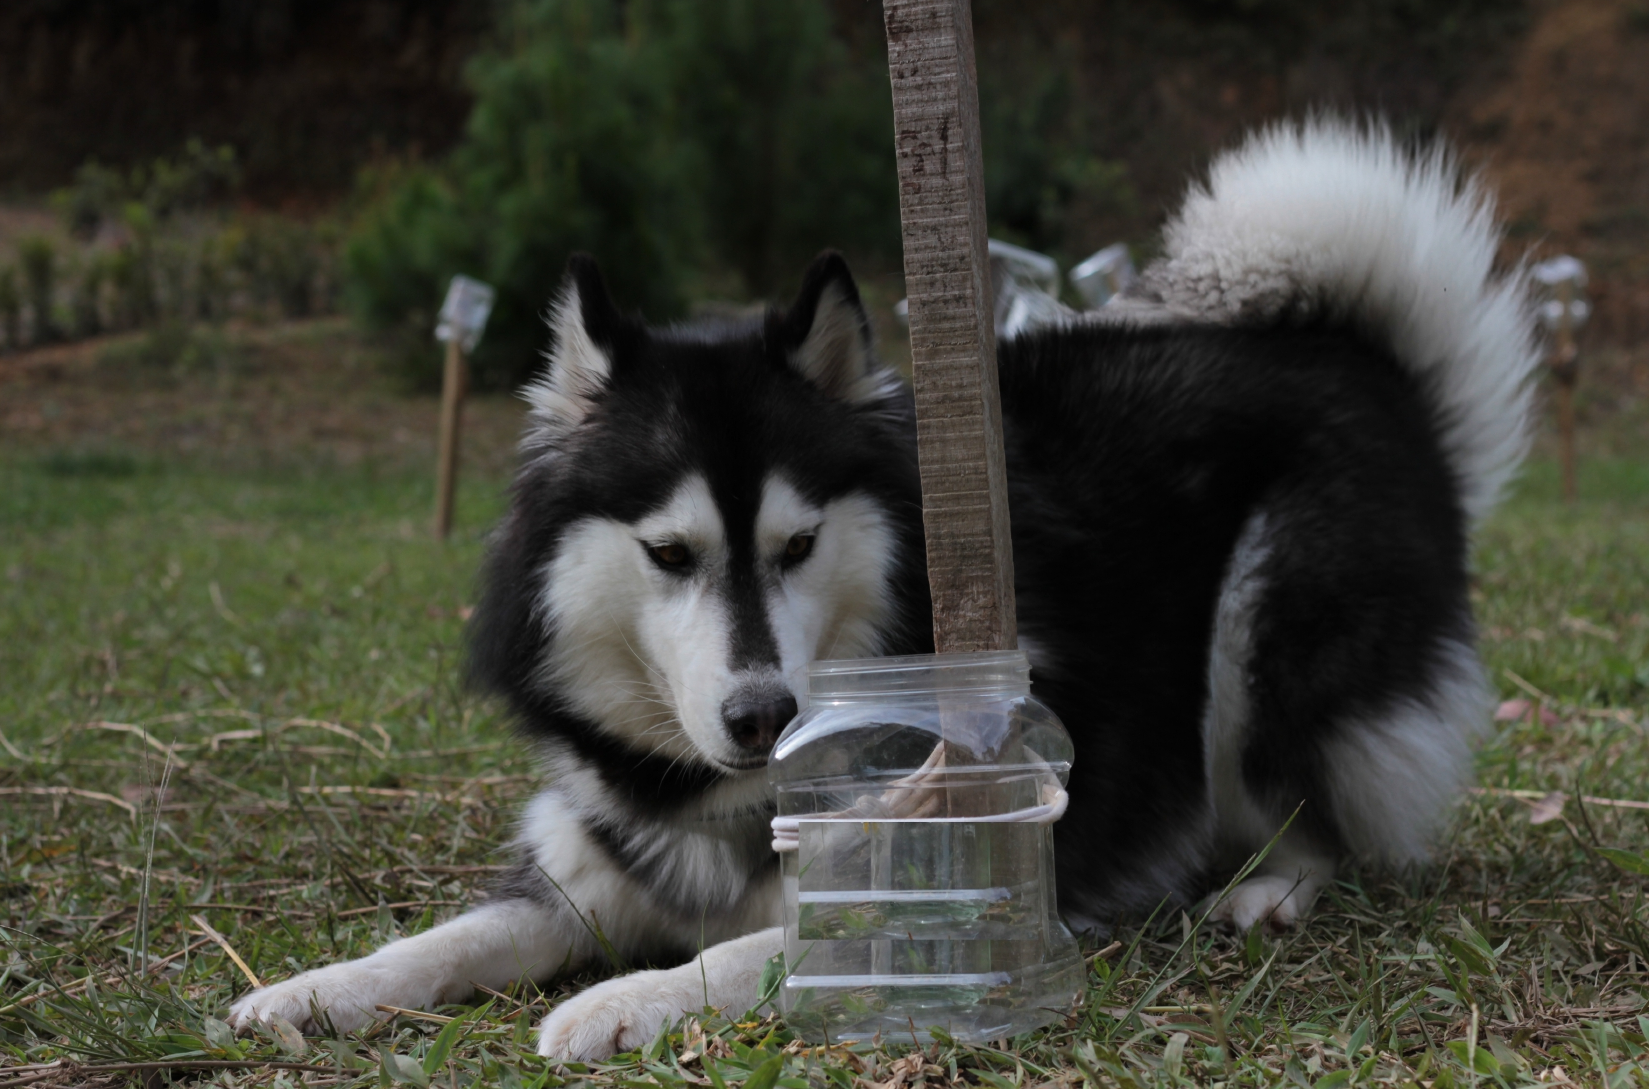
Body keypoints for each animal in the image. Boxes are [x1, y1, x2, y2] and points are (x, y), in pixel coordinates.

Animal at [232, 123, 1543, 1056]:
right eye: (670, 555)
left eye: (798, 545)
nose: (758, 715)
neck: (728, 789)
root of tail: (1358, 357)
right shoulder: (584, 866)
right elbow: (452, 937)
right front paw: (312, 991)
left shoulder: (964, 877)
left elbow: (754, 948)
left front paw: (624, 1002)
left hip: (1258, 638)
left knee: (1322, 806)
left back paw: (1269, 888)